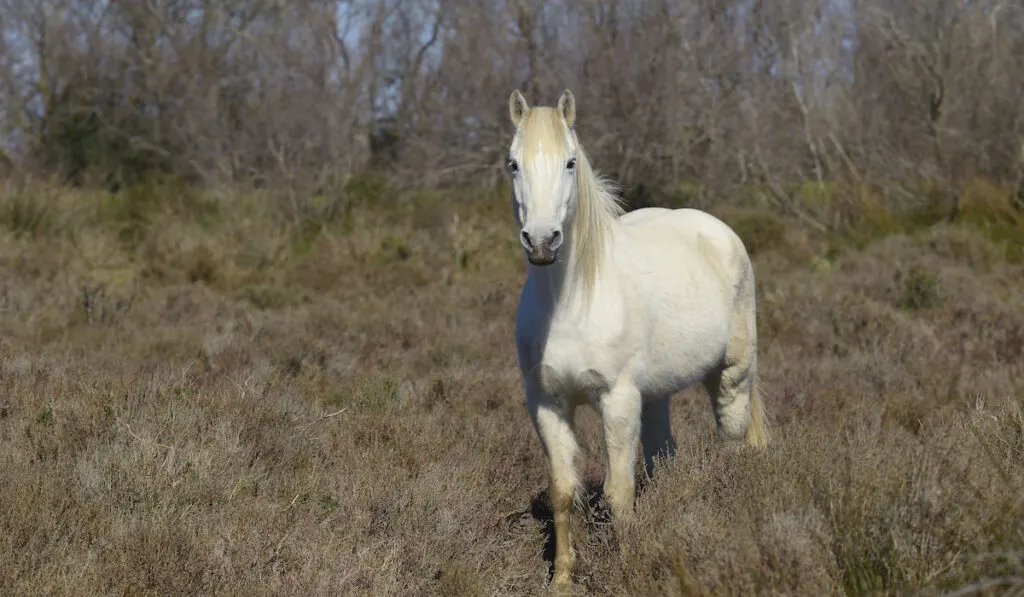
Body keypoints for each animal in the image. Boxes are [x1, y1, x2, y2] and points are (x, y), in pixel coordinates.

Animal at [507, 90, 765, 589]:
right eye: (513, 164)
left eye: (570, 162)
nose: (543, 242)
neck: (570, 302)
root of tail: (720, 232)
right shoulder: (547, 403)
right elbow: (564, 491)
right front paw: (562, 579)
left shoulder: (618, 399)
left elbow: (618, 493)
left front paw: (625, 566)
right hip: (657, 395)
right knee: (665, 455)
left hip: (732, 376)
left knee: (733, 439)